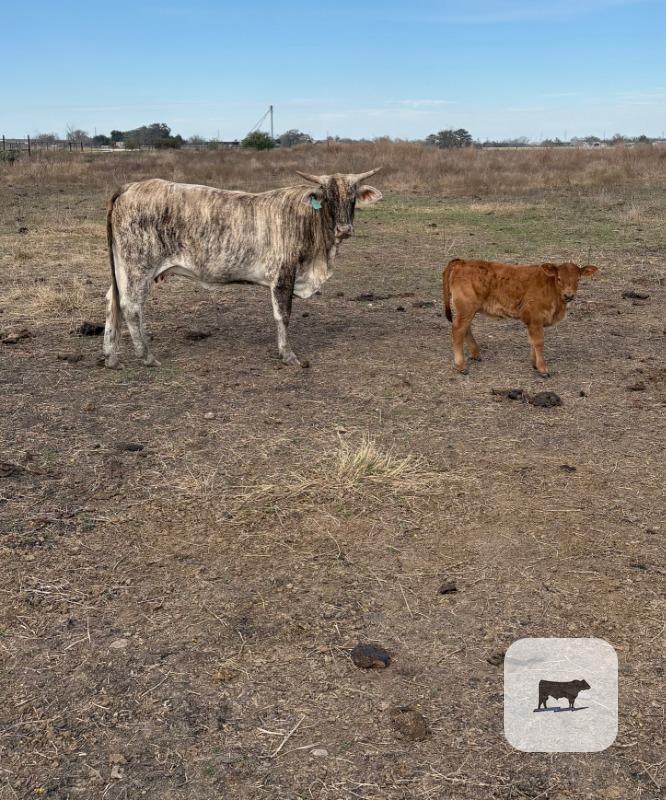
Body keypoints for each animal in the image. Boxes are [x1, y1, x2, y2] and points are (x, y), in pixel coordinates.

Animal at [103, 170, 382, 369]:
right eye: (328, 199)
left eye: (352, 199)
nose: (344, 229)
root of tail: (130, 187)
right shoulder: (283, 275)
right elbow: (283, 315)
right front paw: (288, 354)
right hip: (138, 266)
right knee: (131, 307)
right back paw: (146, 356)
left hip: (123, 268)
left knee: (113, 301)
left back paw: (110, 356)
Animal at [442, 259, 599, 376]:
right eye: (559, 278)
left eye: (578, 279)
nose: (569, 295)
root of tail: (462, 262)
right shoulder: (535, 318)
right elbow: (539, 342)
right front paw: (543, 369)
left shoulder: (532, 321)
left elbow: (532, 341)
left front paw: (534, 364)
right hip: (466, 308)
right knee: (458, 329)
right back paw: (461, 366)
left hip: (468, 309)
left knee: (465, 329)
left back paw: (476, 354)